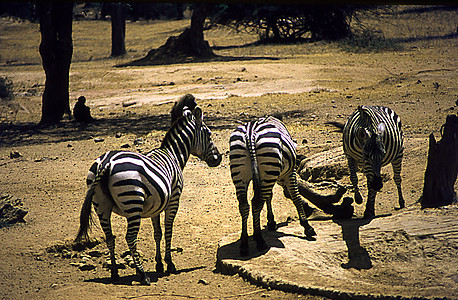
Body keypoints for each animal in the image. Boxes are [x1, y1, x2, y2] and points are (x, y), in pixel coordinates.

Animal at [75, 106, 222, 286]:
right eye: (209, 134)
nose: (219, 159)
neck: (173, 155)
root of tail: (106, 162)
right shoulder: (173, 200)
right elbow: (168, 231)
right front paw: (169, 264)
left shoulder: (156, 206)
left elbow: (157, 233)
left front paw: (159, 264)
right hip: (132, 202)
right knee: (130, 237)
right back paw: (142, 274)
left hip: (101, 205)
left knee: (110, 237)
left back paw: (115, 273)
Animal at [231, 115, 316, 255]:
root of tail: (250, 133)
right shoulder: (290, 173)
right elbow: (296, 197)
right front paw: (307, 227)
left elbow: (269, 196)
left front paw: (270, 222)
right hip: (269, 164)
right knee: (257, 203)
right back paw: (260, 240)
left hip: (241, 173)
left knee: (244, 205)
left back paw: (244, 244)